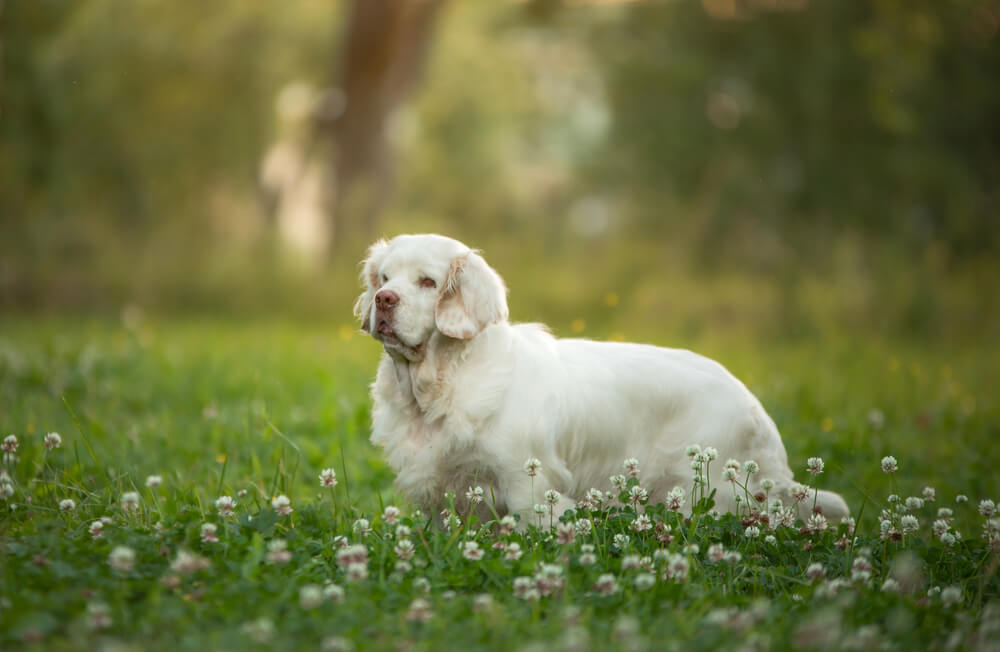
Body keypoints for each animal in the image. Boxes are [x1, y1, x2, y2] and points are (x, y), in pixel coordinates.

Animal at [356, 232, 848, 528]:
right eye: (384, 277)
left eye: (427, 281)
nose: (384, 300)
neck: (438, 385)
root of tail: (756, 408)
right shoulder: (444, 494)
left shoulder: (528, 482)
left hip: (709, 490)